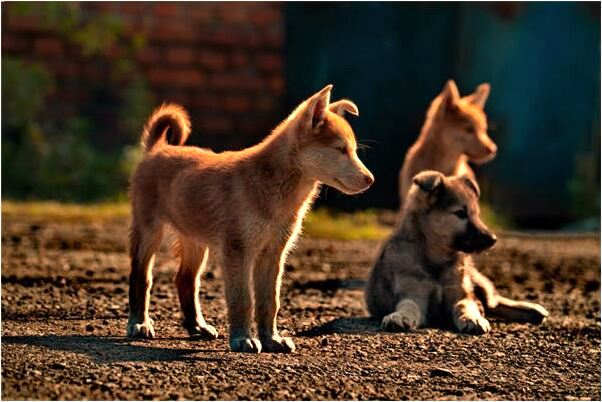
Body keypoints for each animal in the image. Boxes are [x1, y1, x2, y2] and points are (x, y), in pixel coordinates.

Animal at [364, 171, 548, 334]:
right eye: (461, 213)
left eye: (476, 214)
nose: (493, 239)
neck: (436, 256)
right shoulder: (414, 294)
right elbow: (409, 306)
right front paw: (400, 316)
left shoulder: (461, 294)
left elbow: (463, 306)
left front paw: (472, 318)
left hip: (476, 280)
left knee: (493, 302)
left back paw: (532, 309)